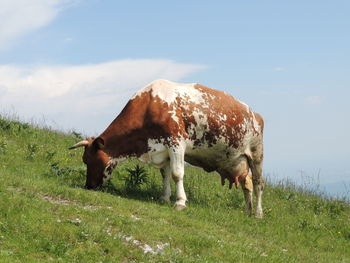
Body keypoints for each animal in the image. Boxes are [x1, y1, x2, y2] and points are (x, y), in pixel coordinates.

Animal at [69, 80, 264, 219]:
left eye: (91, 160)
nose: (88, 186)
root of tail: (255, 114)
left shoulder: (176, 143)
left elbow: (177, 174)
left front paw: (180, 202)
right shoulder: (162, 149)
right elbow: (165, 174)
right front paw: (164, 197)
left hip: (256, 155)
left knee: (258, 184)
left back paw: (258, 213)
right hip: (238, 161)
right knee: (247, 183)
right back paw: (247, 211)